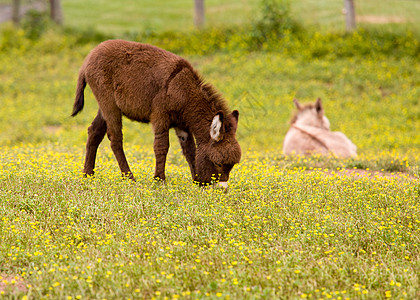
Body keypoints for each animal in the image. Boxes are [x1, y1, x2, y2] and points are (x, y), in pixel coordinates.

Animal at [72, 38, 241, 186]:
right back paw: (129, 178)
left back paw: (88, 175)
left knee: (94, 132)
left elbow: (190, 150)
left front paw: (195, 180)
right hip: (109, 103)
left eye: (231, 165)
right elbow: (161, 147)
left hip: (105, 106)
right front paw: (160, 181)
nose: (222, 189)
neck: (181, 89)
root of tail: (90, 56)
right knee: (115, 139)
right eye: (218, 163)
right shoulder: (160, 117)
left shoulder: (182, 124)